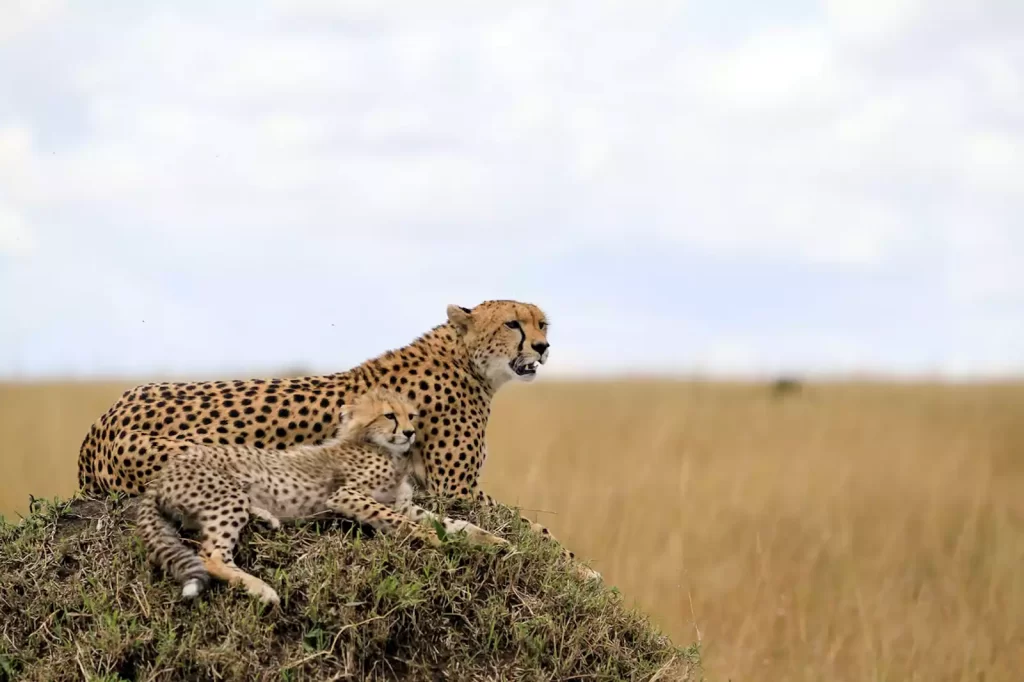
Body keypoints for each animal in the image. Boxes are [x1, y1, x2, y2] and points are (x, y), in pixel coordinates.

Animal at [84, 296, 598, 573]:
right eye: (513, 323)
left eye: (541, 323)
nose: (543, 346)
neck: (466, 360)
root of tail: (104, 417)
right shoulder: (456, 490)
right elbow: (536, 527)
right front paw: (582, 568)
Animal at [138, 385, 505, 602]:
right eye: (389, 415)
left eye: (411, 415)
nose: (410, 432)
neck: (380, 448)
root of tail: (164, 472)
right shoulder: (346, 496)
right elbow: (411, 525)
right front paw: (437, 541)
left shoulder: (404, 504)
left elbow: (455, 523)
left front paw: (492, 540)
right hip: (225, 499)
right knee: (210, 555)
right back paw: (262, 589)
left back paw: (266, 518)